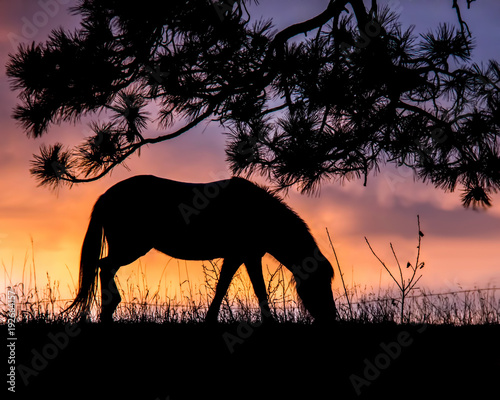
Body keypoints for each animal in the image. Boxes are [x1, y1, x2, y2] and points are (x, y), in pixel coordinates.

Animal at [65, 175, 336, 322]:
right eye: (320, 282)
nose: (331, 317)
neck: (258, 212)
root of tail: (106, 195)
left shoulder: (243, 256)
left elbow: (232, 288)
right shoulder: (242, 255)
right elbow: (246, 289)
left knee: (105, 268)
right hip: (131, 247)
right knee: (105, 267)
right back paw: (109, 309)